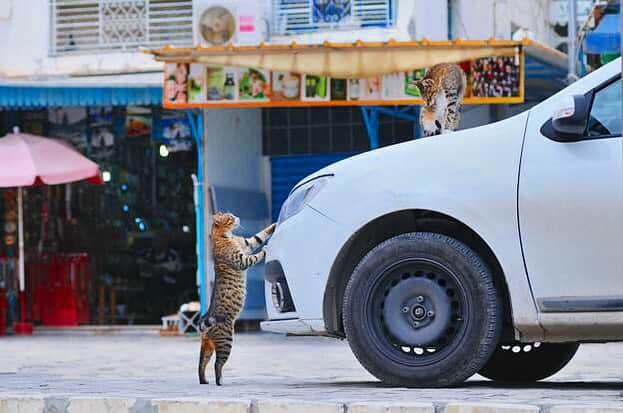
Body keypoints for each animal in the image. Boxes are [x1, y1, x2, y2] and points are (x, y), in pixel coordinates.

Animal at [199, 212, 276, 386]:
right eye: (230, 217)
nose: (237, 216)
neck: (226, 236)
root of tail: (206, 319)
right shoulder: (242, 260)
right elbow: (256, 255)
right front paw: (266, 249)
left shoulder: (248, 243)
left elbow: (259, 236)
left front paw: (274, 225)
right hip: (226, 341)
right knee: (217, 364)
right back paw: (220, 381)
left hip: (207, 347)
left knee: (201, 365)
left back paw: (204, 380)